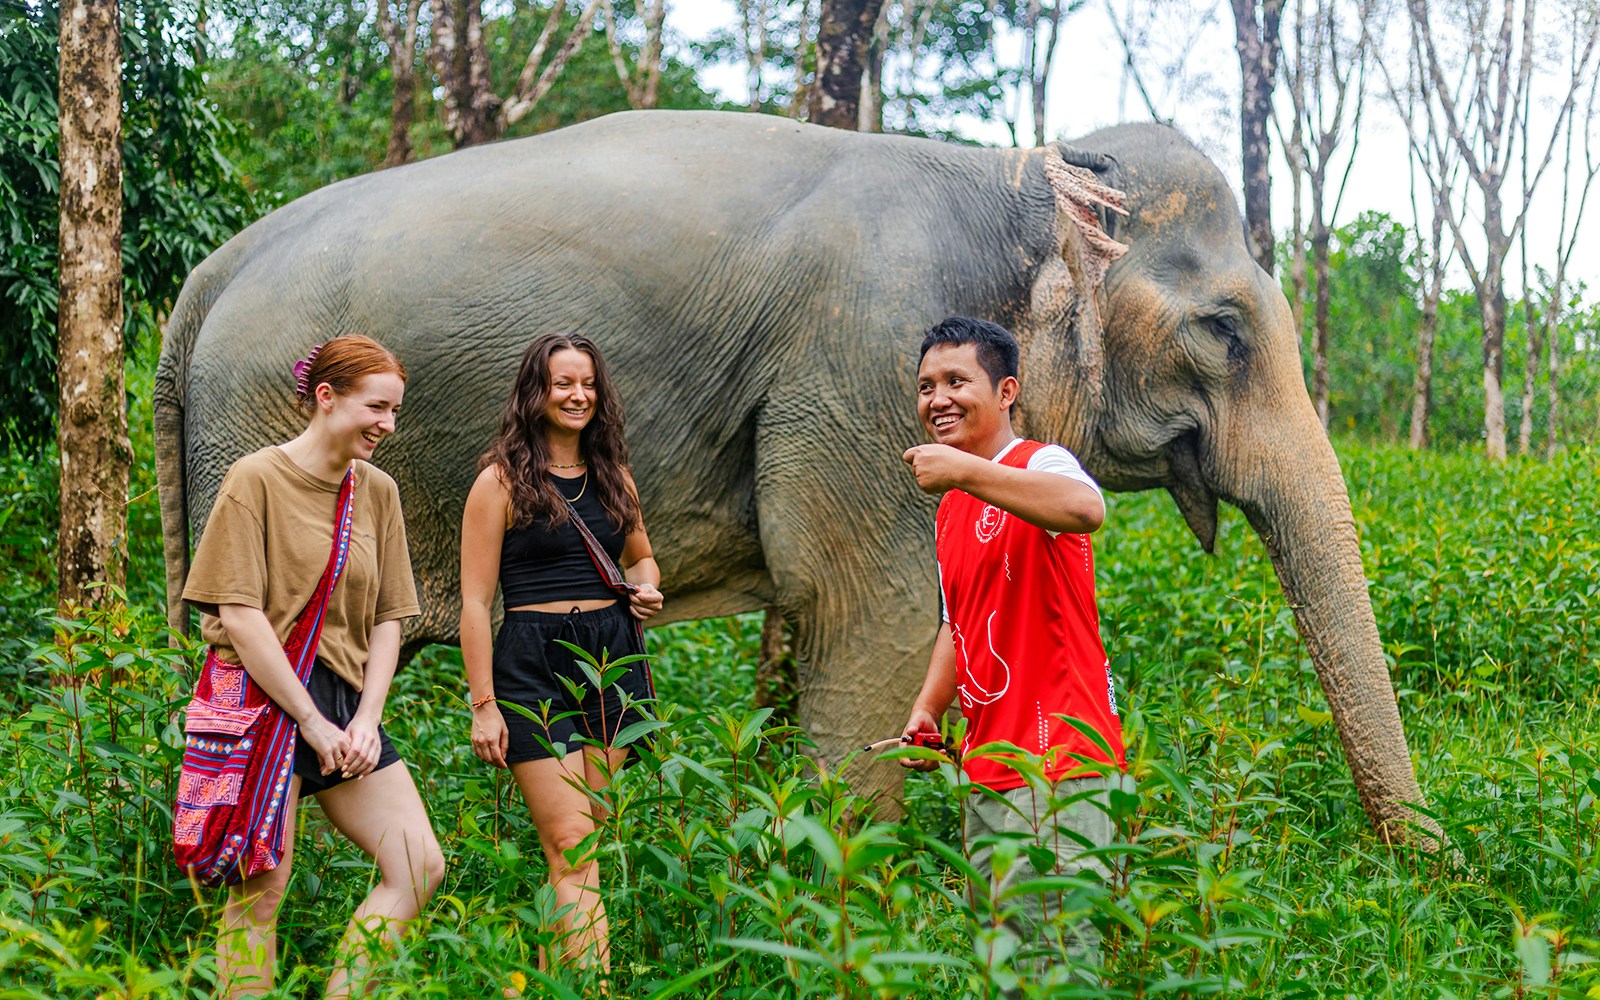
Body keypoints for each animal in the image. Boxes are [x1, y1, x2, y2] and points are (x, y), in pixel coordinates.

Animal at [155, 110, 1429, 842]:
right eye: (1223, 328)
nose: (1419, 877)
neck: (1013, 176)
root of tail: (205, 278)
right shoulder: (866, 358)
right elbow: (870, 612)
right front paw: (854, 889)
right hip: (270, 431)